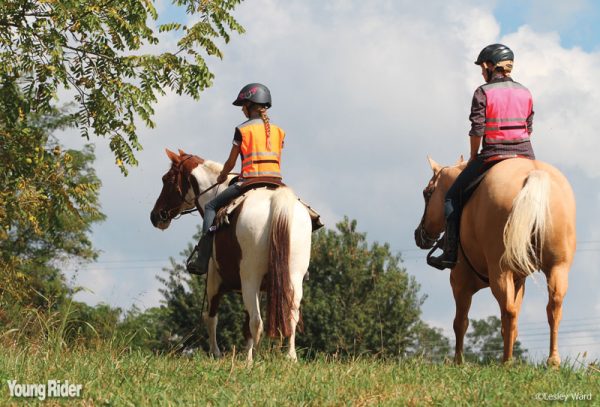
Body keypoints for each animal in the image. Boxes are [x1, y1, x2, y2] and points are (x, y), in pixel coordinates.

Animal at [149, 150, 312, 364]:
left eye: (166, 179)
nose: (155, 216)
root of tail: (278, 202)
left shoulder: (213, 279)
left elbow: (211, 317)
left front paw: (216, 353)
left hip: (250, 278)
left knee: (256, 321)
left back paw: (251, 360)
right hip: (293, 276)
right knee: (290, 315)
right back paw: (289, 357)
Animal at [412, 157, 576, 366]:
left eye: (427, 193)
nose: (418, 234)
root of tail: (533, 175)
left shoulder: (459, 283)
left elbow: (460, 322)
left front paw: (458, 362)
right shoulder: (518, 282)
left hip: (500, 272)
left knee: (508, 311)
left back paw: (507, 362)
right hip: (558, 267)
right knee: (553, 307)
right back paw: (552, 361)